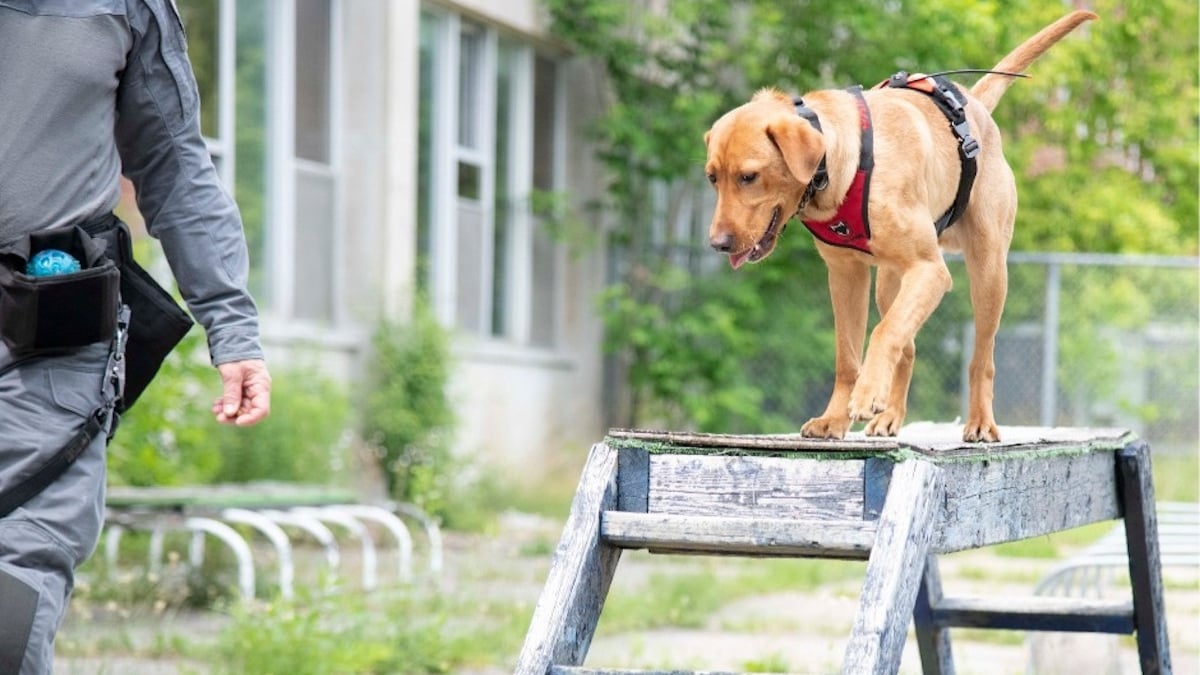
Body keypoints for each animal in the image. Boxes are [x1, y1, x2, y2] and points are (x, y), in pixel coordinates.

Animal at [700, 11, 1099, 441]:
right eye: (712, 178)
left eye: (749, 177)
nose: (718, 244)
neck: (839, 162)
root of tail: (975, 107)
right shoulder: (846, 276)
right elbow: (849, 356)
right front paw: (836, 417)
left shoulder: (930, 270)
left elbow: (883, 333)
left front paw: (864, 395)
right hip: (889, 284)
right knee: (908, 346)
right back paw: (890, 414)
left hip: (989, 272)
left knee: (980, 357)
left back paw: (978, 421)